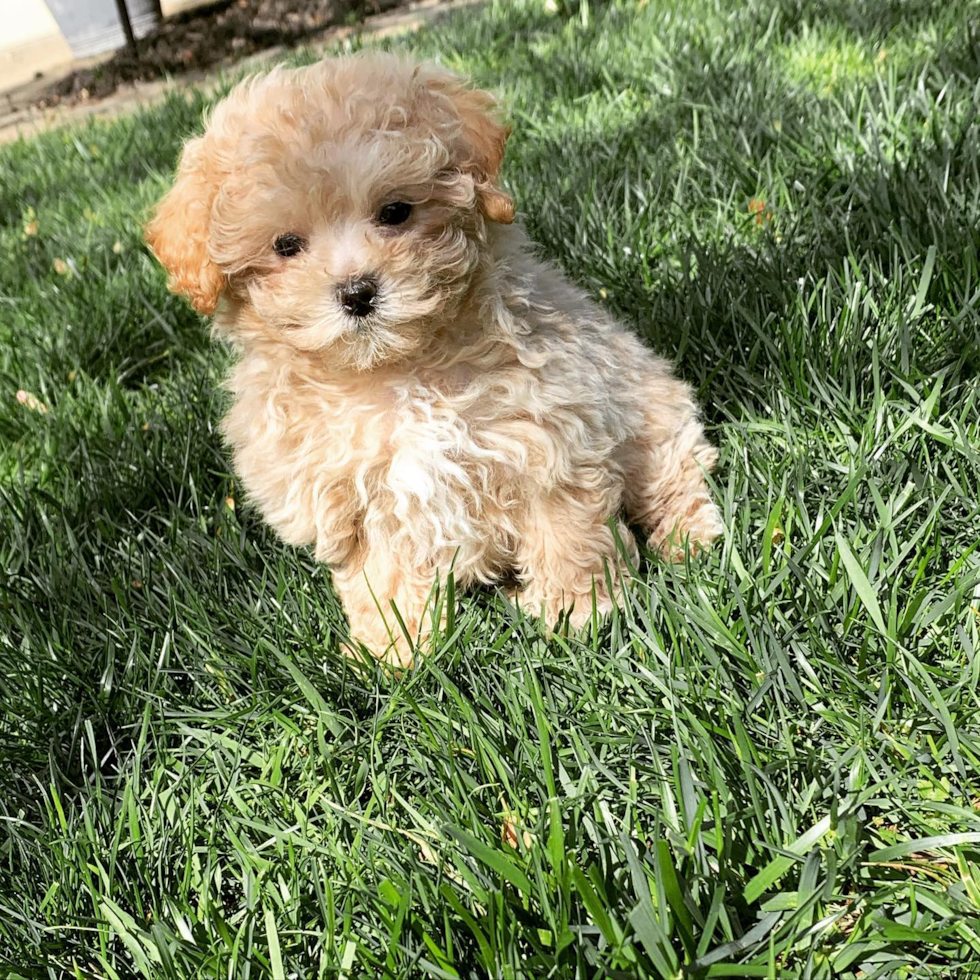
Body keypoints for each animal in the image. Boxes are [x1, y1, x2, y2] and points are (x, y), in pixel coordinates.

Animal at [147, 53, 728, 668]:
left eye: (396, 211)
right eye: (285, 246)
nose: (357, 293)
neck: (397, 370)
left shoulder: (549, 435)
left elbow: (567, 530)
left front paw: (576, 613)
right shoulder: (354, 500)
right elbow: (383, 574)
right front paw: (397, 650)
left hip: (653, 408)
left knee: (675, 474)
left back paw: (687, 538)